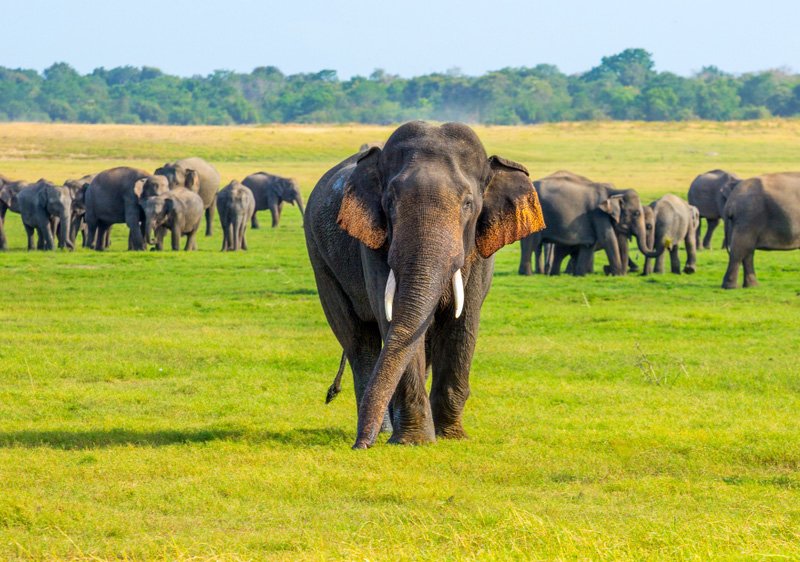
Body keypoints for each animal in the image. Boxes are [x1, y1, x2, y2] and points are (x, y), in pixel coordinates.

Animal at [305, 121, 545, 449]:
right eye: (389, 202)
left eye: (468, 203)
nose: (358, 446)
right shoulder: (374, 243)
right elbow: (392, 319)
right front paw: (414, 442)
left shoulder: (479, 251)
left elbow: (463, 322)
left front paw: (451, 437)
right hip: (320, 260)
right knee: (358, 339)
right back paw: (382, 431)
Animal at [518, 171, 651, 276]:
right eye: (637, 213)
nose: (607, 269)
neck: (614, 191)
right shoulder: (598, 214)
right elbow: (607, 238)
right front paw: (618, 275)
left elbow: (589, 244)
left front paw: (580, 275)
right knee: (532, 243)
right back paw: (528, 274)